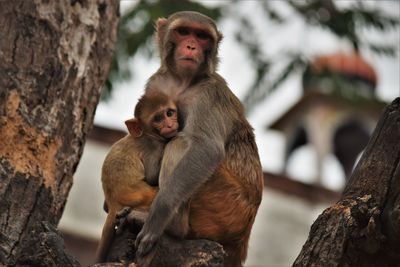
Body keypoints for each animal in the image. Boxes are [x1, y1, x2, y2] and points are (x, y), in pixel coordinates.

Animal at [94, 91, 179, 262]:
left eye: (169, 113)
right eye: (158, 119)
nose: (169, 125)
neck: (148, 134)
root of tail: (113, 203)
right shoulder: (152, 147)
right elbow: (152, 176)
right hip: (141, 195)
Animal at [135, 11, 266, 267]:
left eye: (202, 36)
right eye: (184, 31)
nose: (191, 46)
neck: (183, 82)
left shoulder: (210, 95)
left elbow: (206, 148)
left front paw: (158, 214)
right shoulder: (156, 83)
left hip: (226, 208)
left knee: (181, 143)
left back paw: (173, 227)